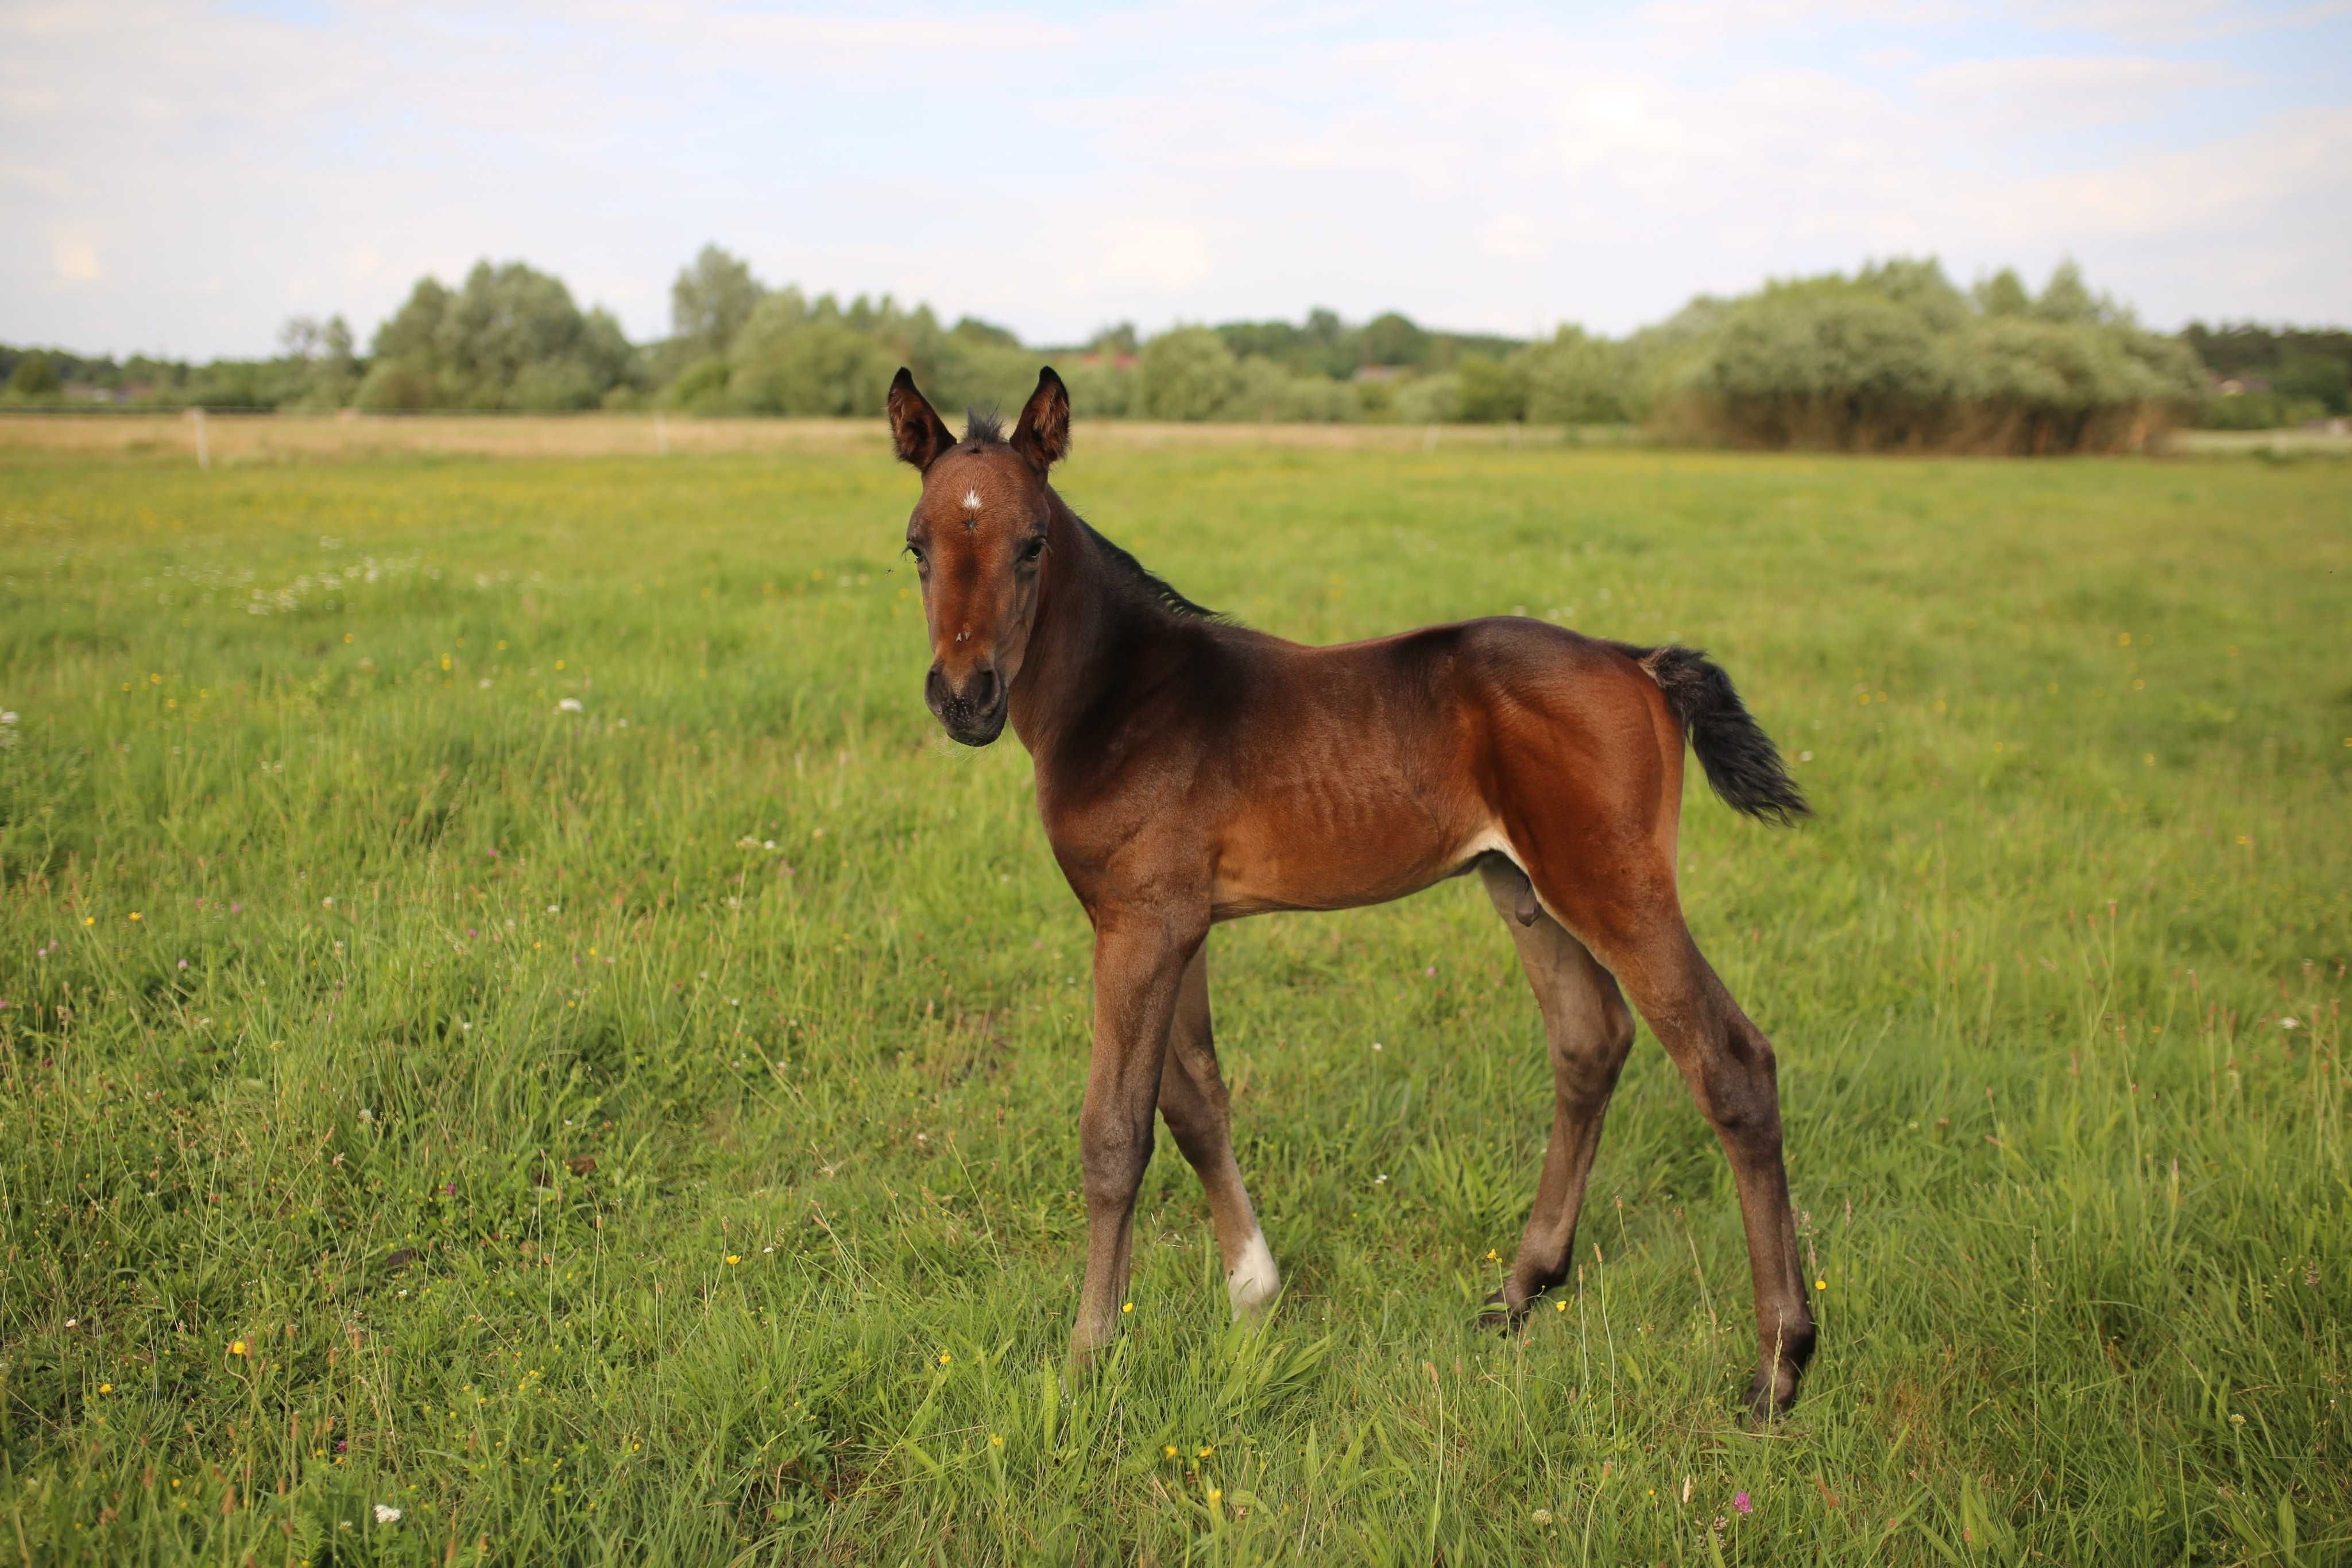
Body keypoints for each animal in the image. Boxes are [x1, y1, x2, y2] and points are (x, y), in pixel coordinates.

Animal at [889, 369, 1825, 1420]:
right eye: (918, 546)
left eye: (1033, 543)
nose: (964, 697)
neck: (1123, 697)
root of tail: (1638, 662)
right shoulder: (1178, 925)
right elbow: (1196, 1102)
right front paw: (1254, 1294)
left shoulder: (1139, 925)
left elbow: (1115, 1133)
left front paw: (1089, 1355)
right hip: (1523, 883)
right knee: (1591, 1043)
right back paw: (1520, 1289)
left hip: (1615, 884)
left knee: (1731, 1063)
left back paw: (1779, 1364)